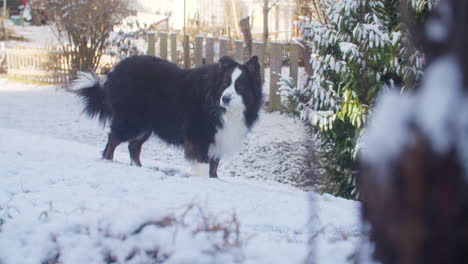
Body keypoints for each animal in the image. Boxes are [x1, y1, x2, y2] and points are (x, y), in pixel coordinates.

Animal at [72, 55, 264, 178]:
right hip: (130, 119)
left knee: (133, 146)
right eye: (225, 83)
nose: (225, 98)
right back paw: (109, 162)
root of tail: (115, 70)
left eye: (240, 86)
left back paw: (139, 168)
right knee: (113, 140)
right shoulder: (199, 136)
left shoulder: (218, 138)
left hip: (145, 125)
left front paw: (214, 180)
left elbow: (214, 167)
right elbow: (203, 164)